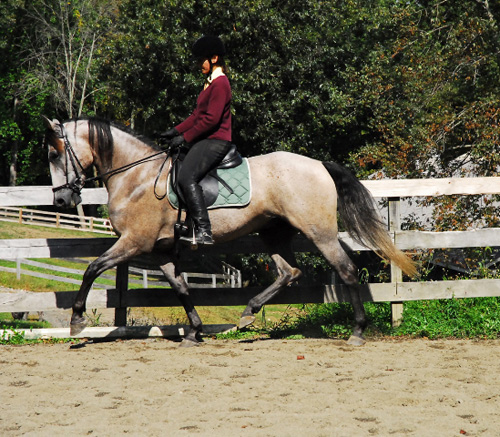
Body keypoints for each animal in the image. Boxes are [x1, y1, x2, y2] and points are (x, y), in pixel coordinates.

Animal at [44, 115, 418, 344]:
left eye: (53, 153)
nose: (61, 199)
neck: (138, 177)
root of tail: (318, 165)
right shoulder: (161, 250)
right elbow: (181, 288)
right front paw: (194, 332)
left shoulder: (134, 242)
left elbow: (92, 268)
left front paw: (77, 320)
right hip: (273, 233)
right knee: (289, 272)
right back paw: (248, 314)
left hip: (319, 233)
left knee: (347, 270)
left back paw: (357, 331)